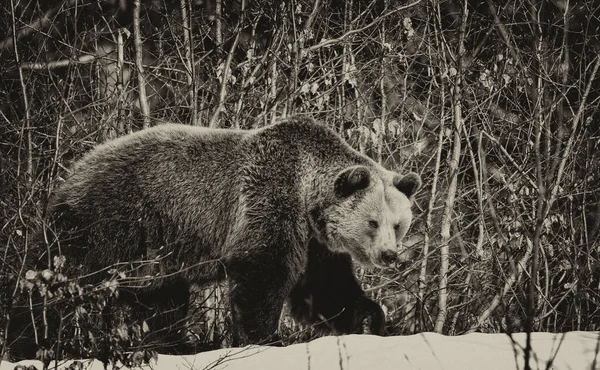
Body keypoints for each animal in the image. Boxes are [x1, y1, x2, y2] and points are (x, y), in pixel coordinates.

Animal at [9, 115, 422, 356]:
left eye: (398, 223)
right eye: (373, 222)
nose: (389, 255)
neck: (308, 198)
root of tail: (68, 175)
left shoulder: (315, 242)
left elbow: (325, 288)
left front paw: (369, 320)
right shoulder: (268, 201)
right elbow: (262, 271)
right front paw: (265, 339)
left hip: (158, 252)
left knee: (162, 302)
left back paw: (174, 345)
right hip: (108, 225)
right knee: (55, 283)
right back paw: (28, 340)